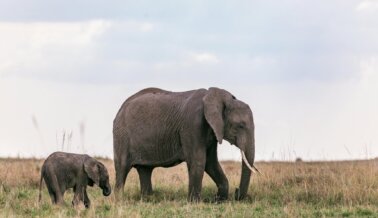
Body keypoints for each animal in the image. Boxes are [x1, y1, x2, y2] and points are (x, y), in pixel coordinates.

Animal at [113, 87, 258, 201]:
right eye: (240, 126)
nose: (236, 192)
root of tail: (121, 107)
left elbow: (211, 163)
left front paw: (219, 200)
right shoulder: (193, 125)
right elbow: (199, 161)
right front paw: (194, 202)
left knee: (145, 170)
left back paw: (148, 199)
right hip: (121, 135)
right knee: (122, 167)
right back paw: (119, 200)